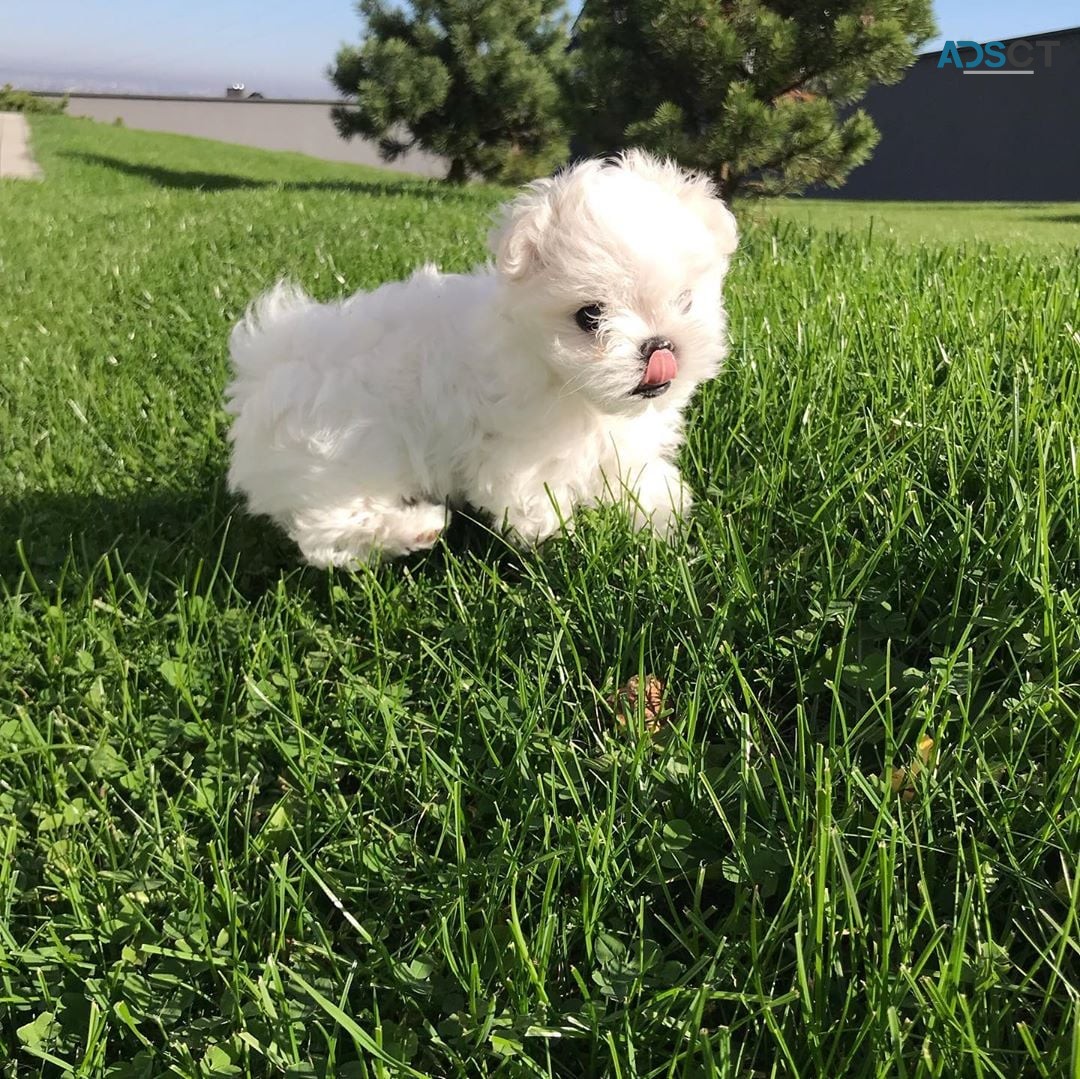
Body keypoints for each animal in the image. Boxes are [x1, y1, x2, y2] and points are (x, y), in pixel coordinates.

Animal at [224, 154, 738, 574]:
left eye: (685, 300)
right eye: (589, 316)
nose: (660, 348)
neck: (560, 378)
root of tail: (266, 365)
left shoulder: (617, 444)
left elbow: (637, 478)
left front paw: (661, 518)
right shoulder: (518, 454)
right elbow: (535, 505)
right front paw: (563, 549)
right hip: (342, 461)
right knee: (325, 534)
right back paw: (418, 526)